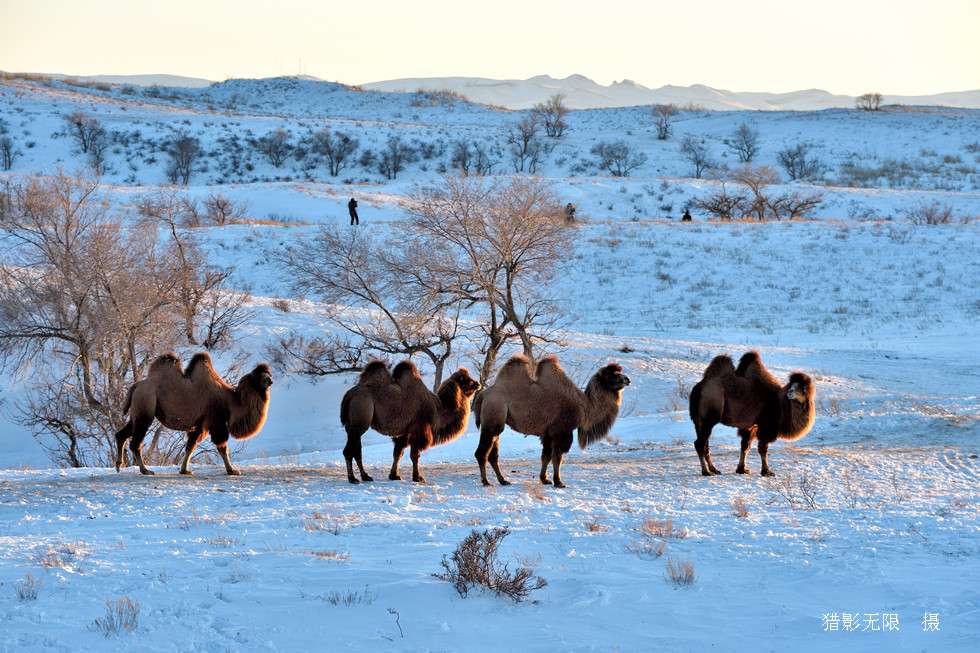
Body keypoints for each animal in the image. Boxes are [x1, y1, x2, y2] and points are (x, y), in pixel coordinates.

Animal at [117, 352, 274, 474]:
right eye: (258, 376)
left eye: (268, 373)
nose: (270, 380)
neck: (230, 401)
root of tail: (136, 386)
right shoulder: (216, 422)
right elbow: (222, 447)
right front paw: (232, 470)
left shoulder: (200, 425)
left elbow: (190, 447)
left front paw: (184, 470)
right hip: (146, 406)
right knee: (135, 442)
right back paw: (145, 470)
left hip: (137, 410)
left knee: (122, 434)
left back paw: (119, 465)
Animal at [340, 356, 482, 484]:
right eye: (464, 379)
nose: (478, 383)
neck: (438, 408)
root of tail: (349, 395)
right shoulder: (419, 429)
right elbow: (415, 455)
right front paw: (418, 477)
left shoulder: (405, 432)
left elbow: (398, 453)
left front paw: (394, 475)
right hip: (360, 419)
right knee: (348, 451)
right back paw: (353, 479)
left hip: (352, 425)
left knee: (357, 451)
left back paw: (366, 476)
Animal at [472, 354, 628, 486]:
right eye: (611, 376)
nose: (627, 379)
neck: (584, 407)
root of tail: (483, 395)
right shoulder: (562, 430)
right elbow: (557, 457)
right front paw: (559, 482)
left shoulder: (548, 432)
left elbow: (546, 456)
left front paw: (545, 479)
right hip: (493, 416)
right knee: (482, 452)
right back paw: (486, 481)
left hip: (496, 421)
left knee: (493, 454)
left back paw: (503, 480)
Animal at [684, 348, 816, 476]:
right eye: (791, 386)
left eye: (803, 388)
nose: (790, 392)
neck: (780, 403)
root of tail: (698, 389)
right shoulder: (765, 426)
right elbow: (762, 449)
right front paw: (767, 471)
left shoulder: (751, 426)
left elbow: (745, 446)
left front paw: (742, 469)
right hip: (709, 417)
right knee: (700, 443)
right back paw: (706, 471)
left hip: (698, 419)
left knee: (705, 444)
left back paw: (714, 469)